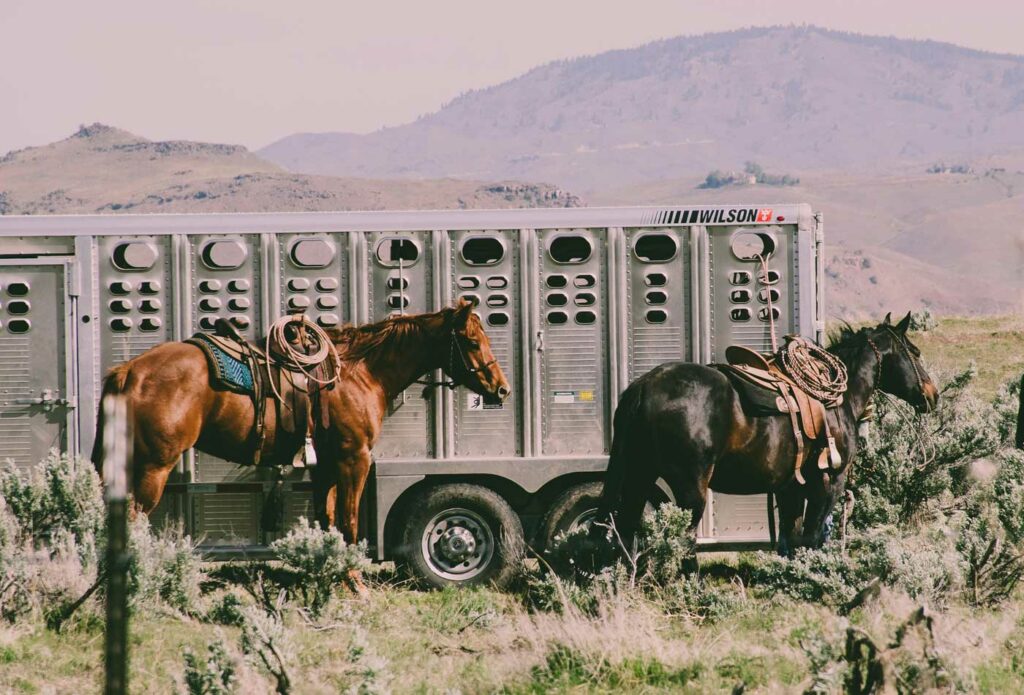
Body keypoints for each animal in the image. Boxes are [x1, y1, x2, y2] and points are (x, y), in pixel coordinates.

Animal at [94, 300, 509, 544]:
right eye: (472, 341)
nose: (501, 388)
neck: (360, 373)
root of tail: (130, 372)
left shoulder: (326, 464)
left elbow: (328, 519)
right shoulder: (354, 458)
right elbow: (350, 521)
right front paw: (357, 585)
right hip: (153, 467)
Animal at [598, 313, 937, 552]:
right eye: (915, 352)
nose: (932, 395)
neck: (839, 400)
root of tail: (645, 385)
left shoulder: (791, 487)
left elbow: (792, 538)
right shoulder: (829, 482)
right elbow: (812, 537)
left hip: (639, 476)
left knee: (626, 532)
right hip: (689, 490)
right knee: (678, 541)